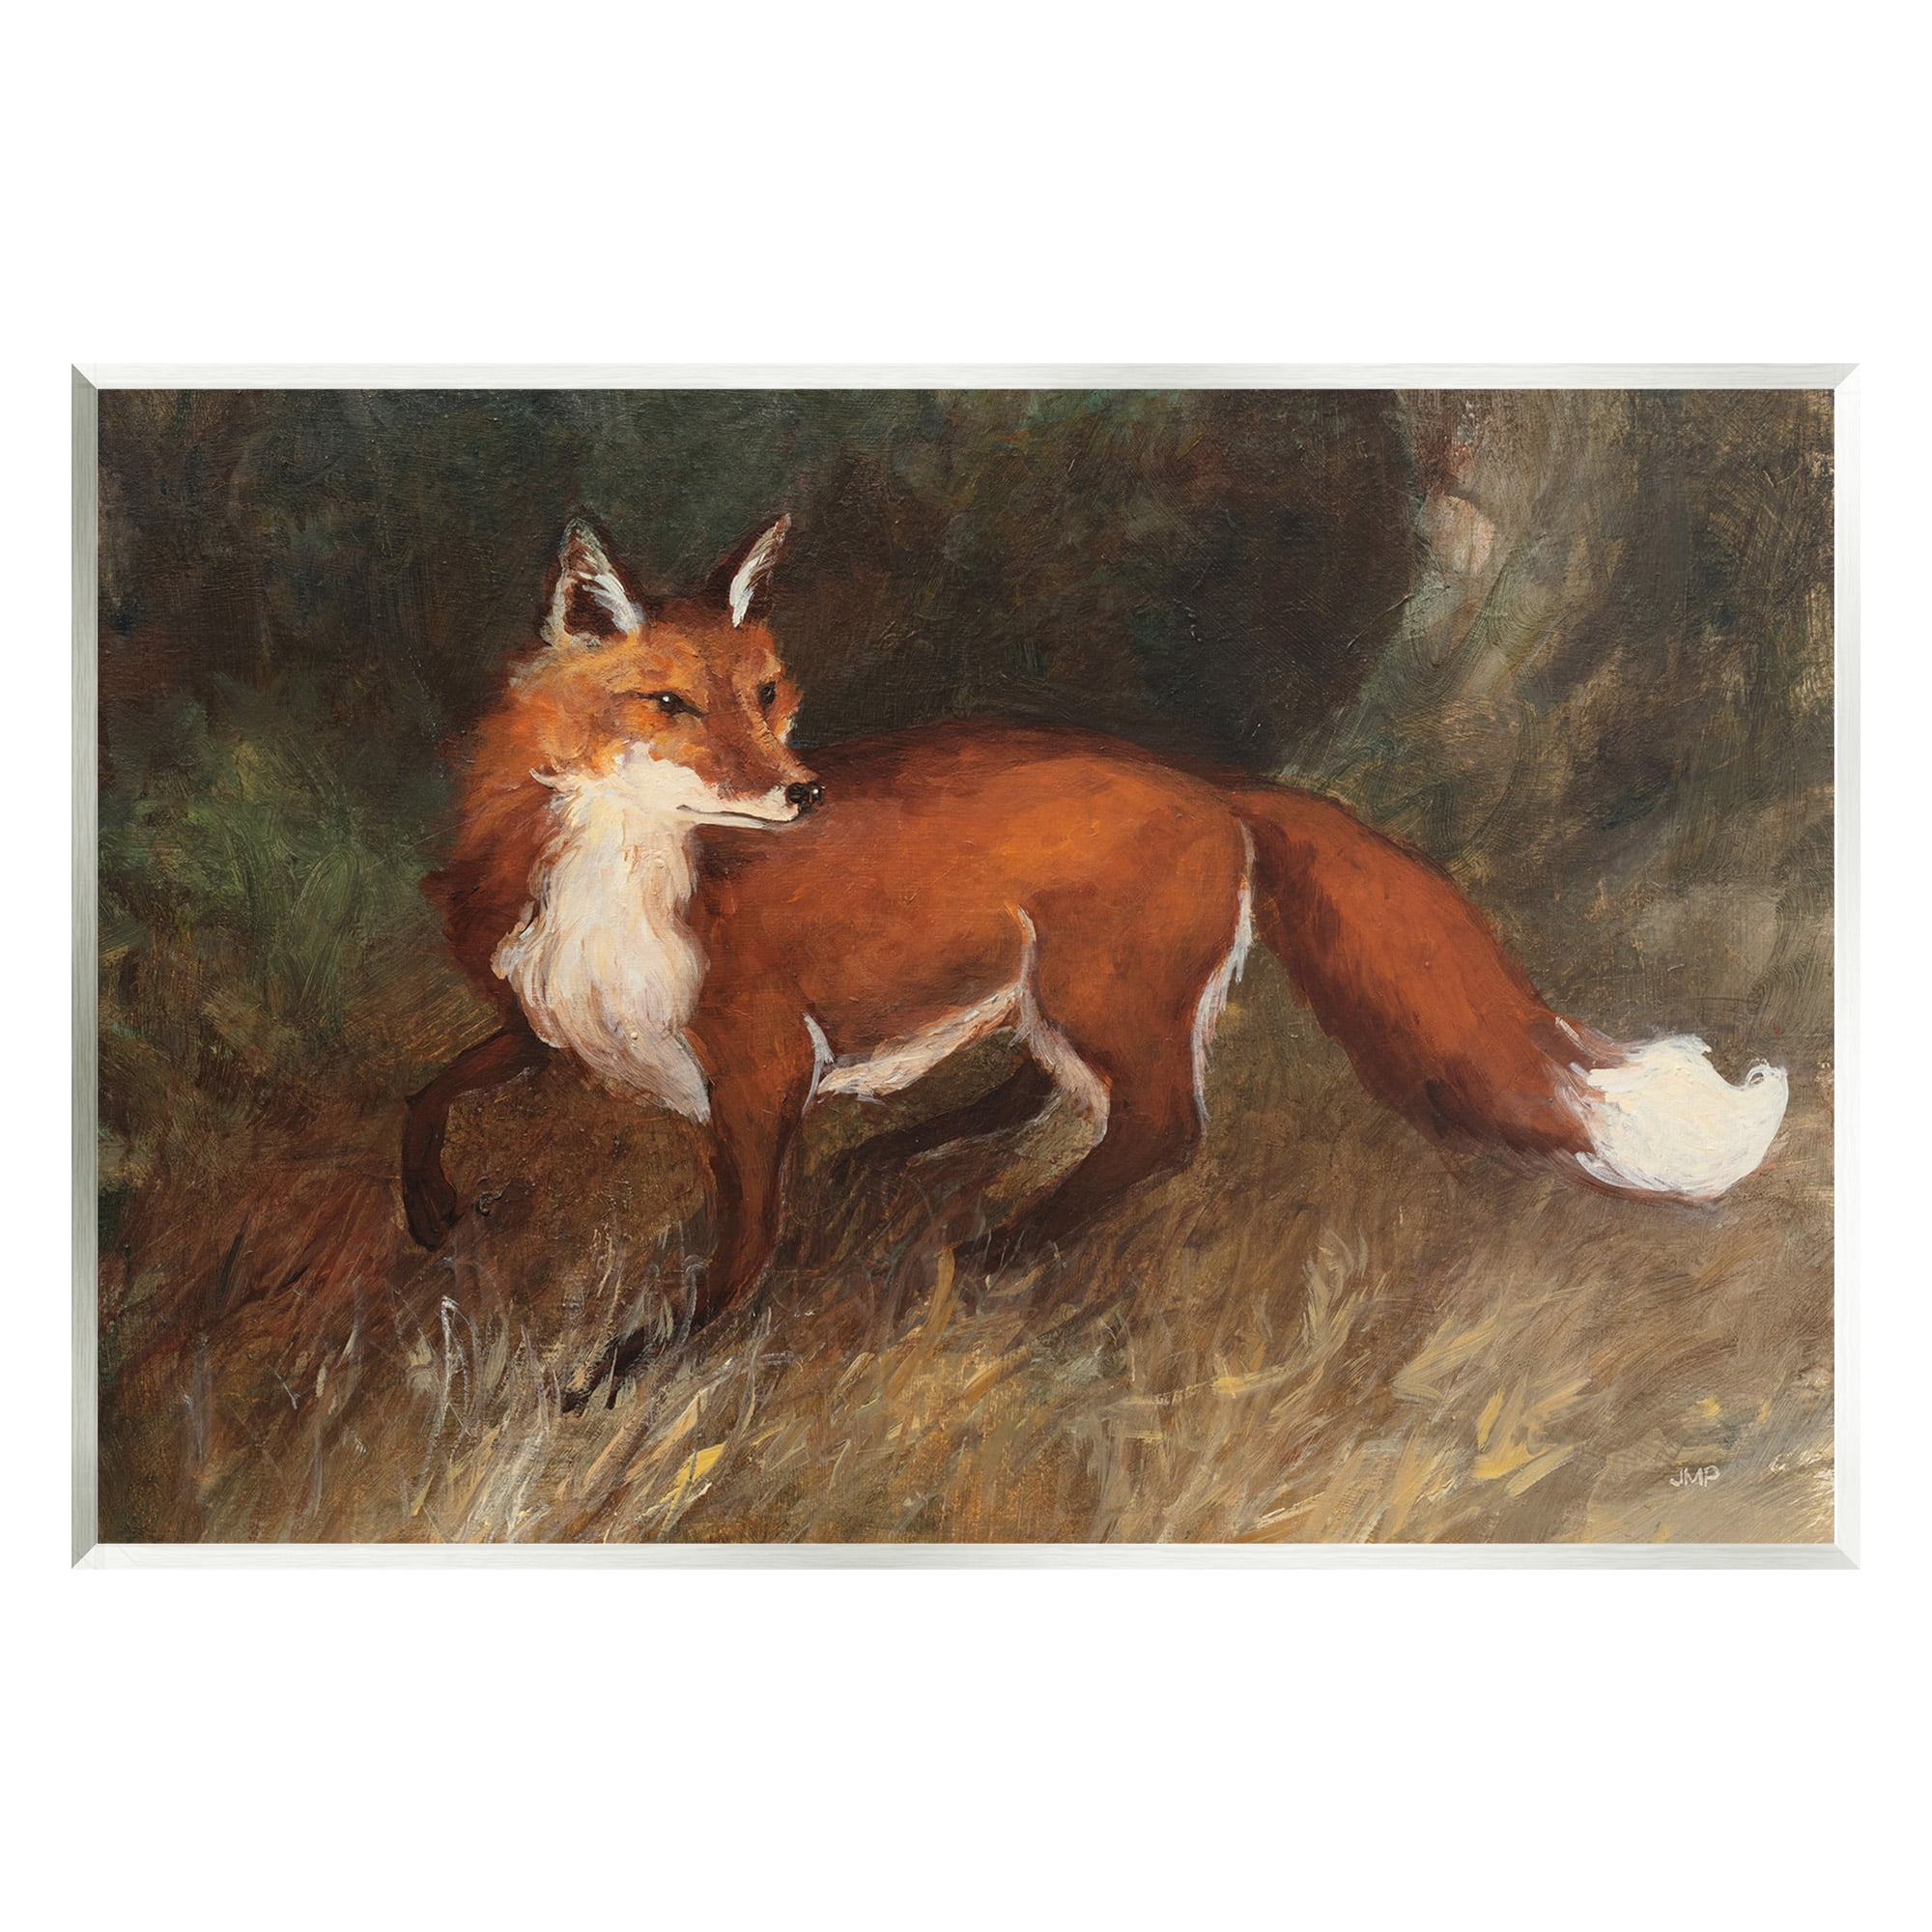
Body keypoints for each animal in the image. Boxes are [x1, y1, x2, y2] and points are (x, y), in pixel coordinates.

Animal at [404, 514, 1790, 1343]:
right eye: (670, 705)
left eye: (766, 694)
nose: (800, 794)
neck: (622, 888)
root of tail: (1212, 782)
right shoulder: (548, 1024)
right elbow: (426, 1091)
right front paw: (429, 1217)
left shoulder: (758, 1066)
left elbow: (739, 1250)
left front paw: (649, 1363)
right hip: (1056, 991)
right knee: (1052, 1096)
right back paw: (907, 1160)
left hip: (1097, 990)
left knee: (1160, 1129)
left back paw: (1002, 1246)